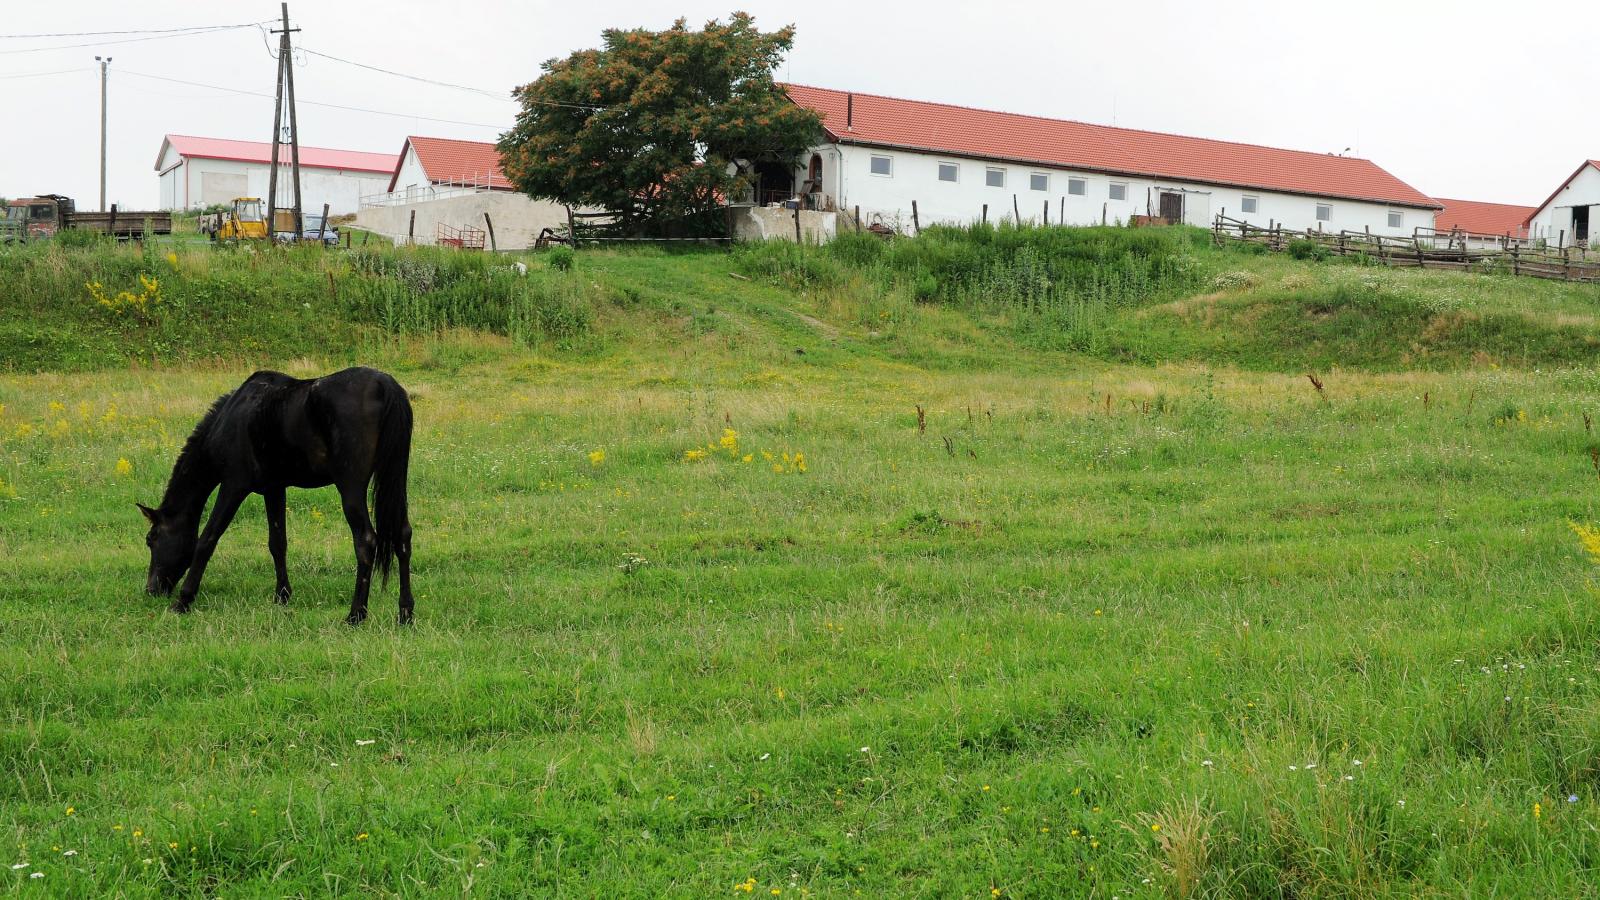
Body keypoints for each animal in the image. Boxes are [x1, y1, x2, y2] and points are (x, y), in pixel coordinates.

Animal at [138, 365, 416, 624]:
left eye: (151, 539)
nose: (151, 590)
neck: (231, 419)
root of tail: (384, 384)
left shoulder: (233, 486)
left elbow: (207, 539)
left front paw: (183, 600)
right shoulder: (274, 489)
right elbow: (277, 542)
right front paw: (282, 595)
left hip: (351, 487)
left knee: (365, 541)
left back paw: (356, 614)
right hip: (395, 479)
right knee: (402, 536)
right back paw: (405, 613)